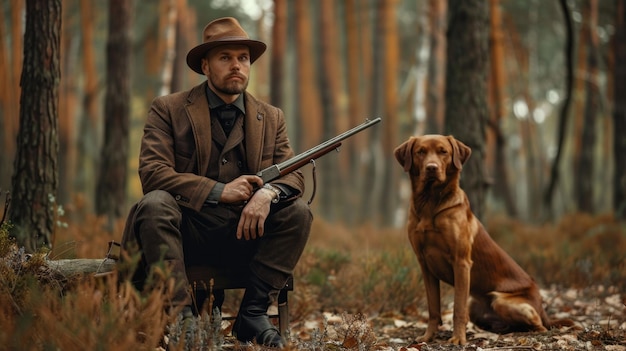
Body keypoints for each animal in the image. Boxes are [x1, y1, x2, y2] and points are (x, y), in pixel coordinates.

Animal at [392, 135, 572, 346]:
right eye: (420, 152)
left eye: (443, 151)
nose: (431, 168)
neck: (429, 203)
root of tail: (543, 308)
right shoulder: (425, 264)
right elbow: (433, 309)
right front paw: (428, 337)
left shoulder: (461, 262)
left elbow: (457, 308)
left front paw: (458, 339)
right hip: (475, 303)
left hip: (502, 300)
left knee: (539, 325)